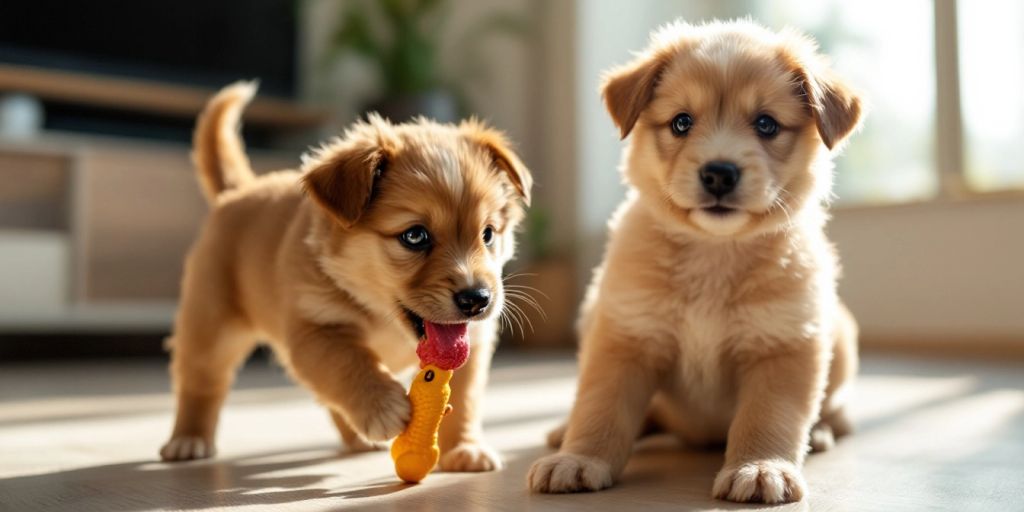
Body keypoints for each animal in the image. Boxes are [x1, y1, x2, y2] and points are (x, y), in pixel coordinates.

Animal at [160, 81, 532, 473]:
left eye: (488, 234)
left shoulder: (472, 344)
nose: (477, 300)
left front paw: (464, 448)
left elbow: (464, 400)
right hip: (211, 327)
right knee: (200, 384)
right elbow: (349, 366)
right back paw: (188, 439)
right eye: (415, 236)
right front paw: (383, 407)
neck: (382, 315)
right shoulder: (316, 332)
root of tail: (238, 192)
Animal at [532, 20, 860, 503]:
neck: (713, 252)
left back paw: (820, 432)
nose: (719, 173)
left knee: (833, 412)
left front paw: (760, 467)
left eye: (766, 123)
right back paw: (563, 432)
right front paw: (579, 458)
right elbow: (601, 408)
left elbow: (769, 417)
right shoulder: (624, 339)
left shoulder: (784, 345)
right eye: (681, 122)